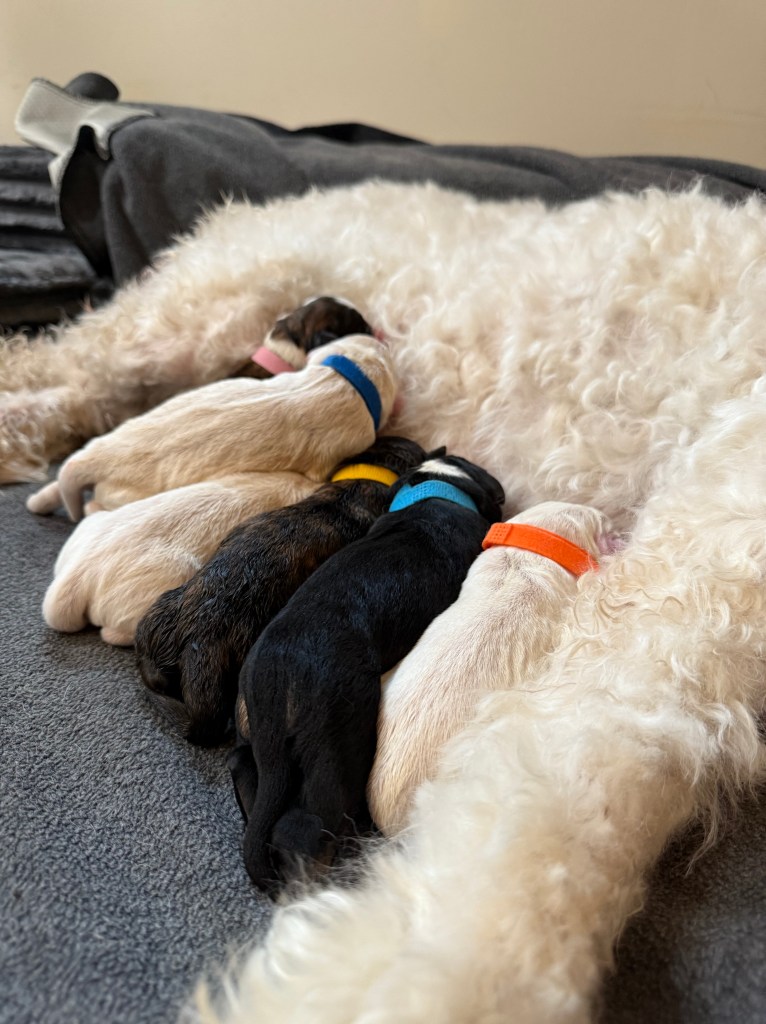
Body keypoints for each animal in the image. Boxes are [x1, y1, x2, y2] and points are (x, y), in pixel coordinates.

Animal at [237, 452, 505, 895]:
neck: (433, 489)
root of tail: (277, 675)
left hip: (256, 737)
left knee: (246, 776)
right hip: (336, 745)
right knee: (308, 824)